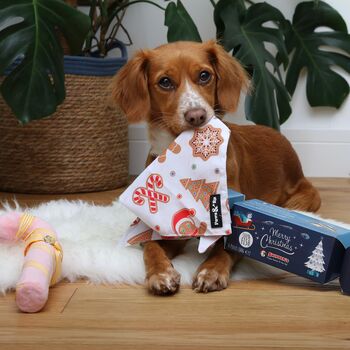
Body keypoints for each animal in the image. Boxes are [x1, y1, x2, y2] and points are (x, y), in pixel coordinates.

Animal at [110, 40, 322, 296]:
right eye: (165, 81)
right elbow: (151, 246)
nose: (196, 116)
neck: (187, 157)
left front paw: (210, 271)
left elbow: (226, 248)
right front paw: (160, 273)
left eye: (204, 76)